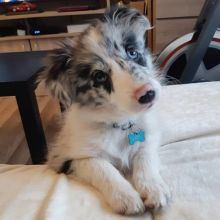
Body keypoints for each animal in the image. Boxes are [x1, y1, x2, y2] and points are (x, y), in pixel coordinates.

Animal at [39, 6, 170, 215]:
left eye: (132, 52)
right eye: (99, 76)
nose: (147, 94)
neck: (121, 123)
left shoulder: (150, 137)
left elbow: (145, 157)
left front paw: (154, 189)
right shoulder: (66, 159)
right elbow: (101, 167)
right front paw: (126, 197)